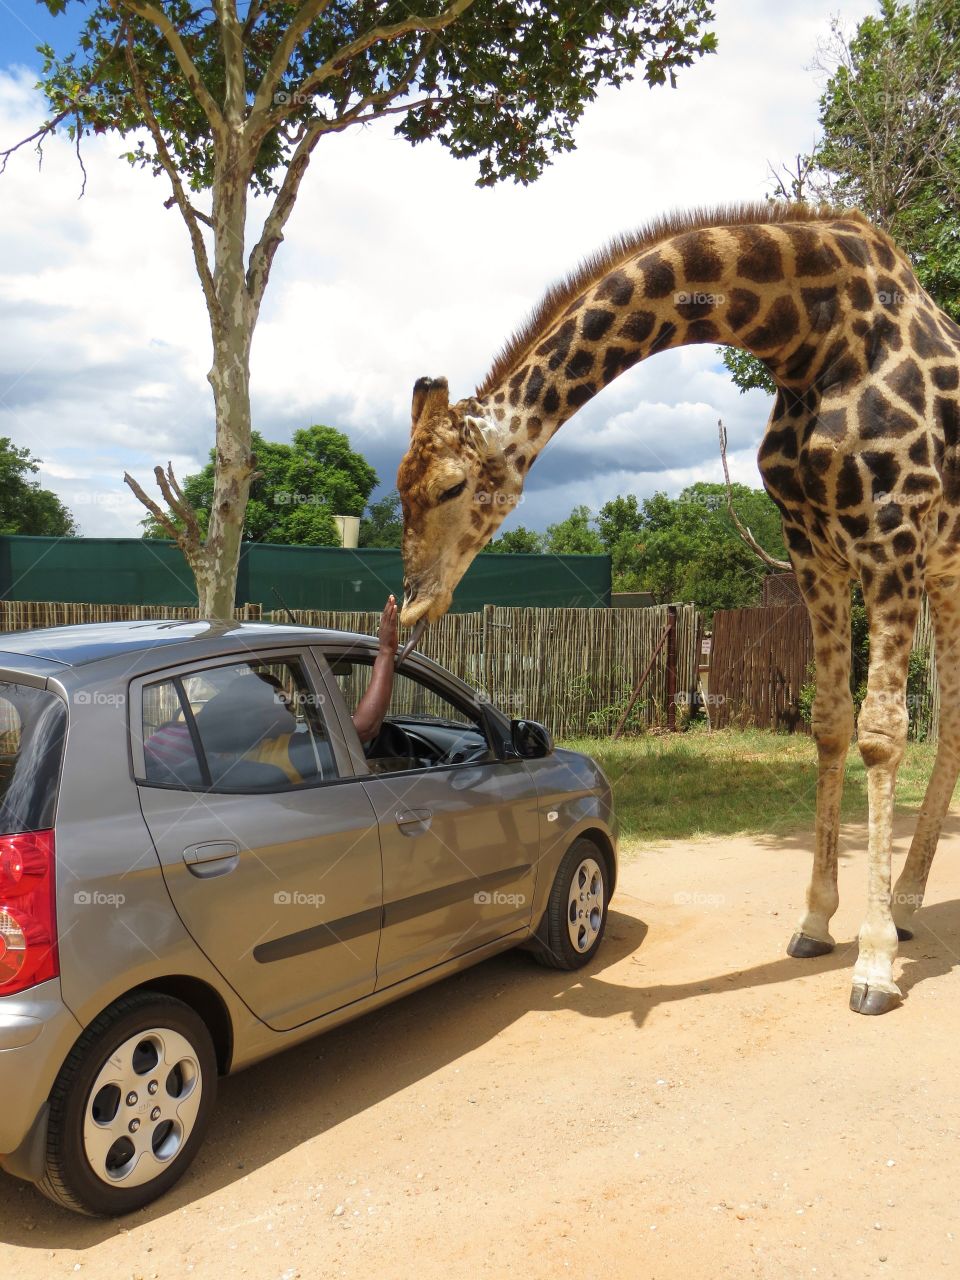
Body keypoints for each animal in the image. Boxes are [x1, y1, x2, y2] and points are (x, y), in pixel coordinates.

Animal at [395, 200, 960, 1016]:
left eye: (447, 487)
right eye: (397, 487)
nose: (414, 602)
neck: (808, 337)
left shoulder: (892, 534)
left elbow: (882, 735)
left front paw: (875, 964)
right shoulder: (813, 547)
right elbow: (831, 724)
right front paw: (816, 924)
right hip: (946, 570)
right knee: (952, 717)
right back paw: (913, 902)